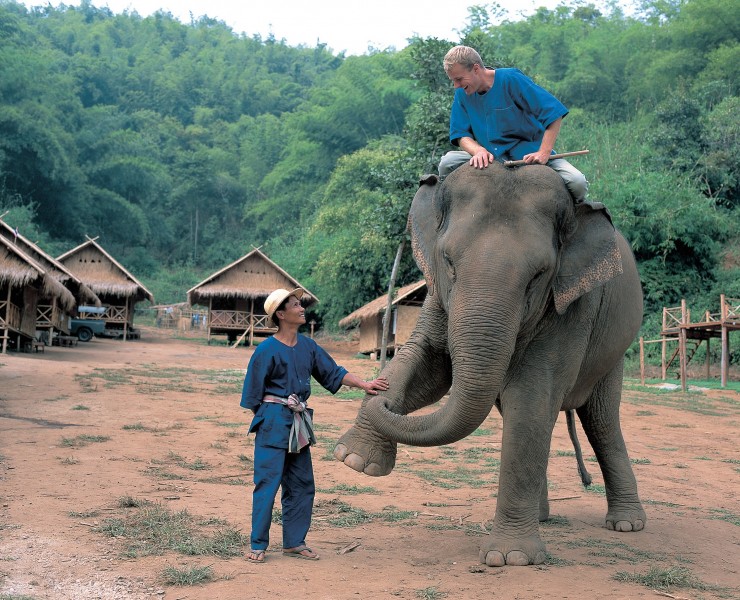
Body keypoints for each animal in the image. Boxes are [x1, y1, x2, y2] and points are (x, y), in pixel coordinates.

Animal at [332, 162, 644, 564]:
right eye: (448, 262)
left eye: (537, 276)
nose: (381, 394)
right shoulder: (437, 296)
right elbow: (429, 366)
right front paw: (355, 460)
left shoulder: (572, 311)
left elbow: (530, 396)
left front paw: (511, 558)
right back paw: (543, 518)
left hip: (613, 353)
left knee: (601, 422)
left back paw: (627, 524)